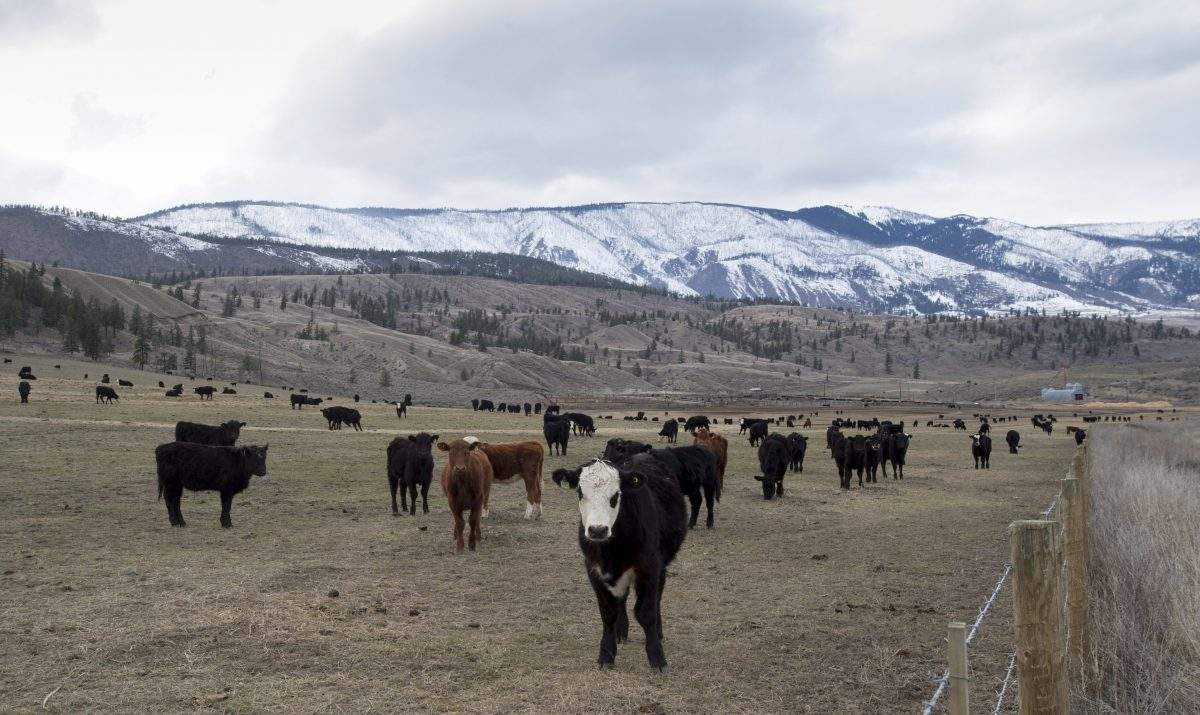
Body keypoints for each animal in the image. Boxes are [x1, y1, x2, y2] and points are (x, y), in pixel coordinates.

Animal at [551, 457, 686, 672]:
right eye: (580, 492)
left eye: (616, 495)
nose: (597, 530)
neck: (611, 551)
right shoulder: (594, 570)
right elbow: (608, 613)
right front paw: (606, 654)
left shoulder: (649, 567)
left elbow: (646, 613)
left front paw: (657, 657)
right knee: (622, 599)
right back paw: (620, 632)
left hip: (662, 565)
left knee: (657, 596)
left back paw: (658, 631)